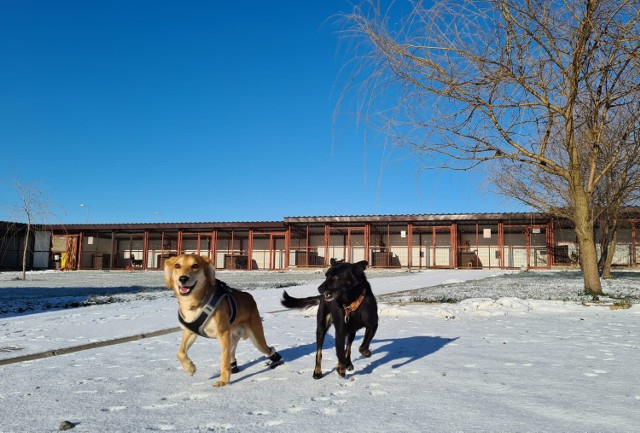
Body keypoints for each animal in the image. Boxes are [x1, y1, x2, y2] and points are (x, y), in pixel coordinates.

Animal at [165, 251, 282, 386]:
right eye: (177, 266)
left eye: (195, 265)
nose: (183, 278)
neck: (197, 302)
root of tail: (249, 297)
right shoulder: (190, 331)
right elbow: (180, 352)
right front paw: (190, 368)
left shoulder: (222, 333)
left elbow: (224, 360)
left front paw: (224, 381)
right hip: (233, 337)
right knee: (232, 353)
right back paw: (234, 366)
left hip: (256, 338)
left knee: (268, 349)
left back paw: (276, 359)